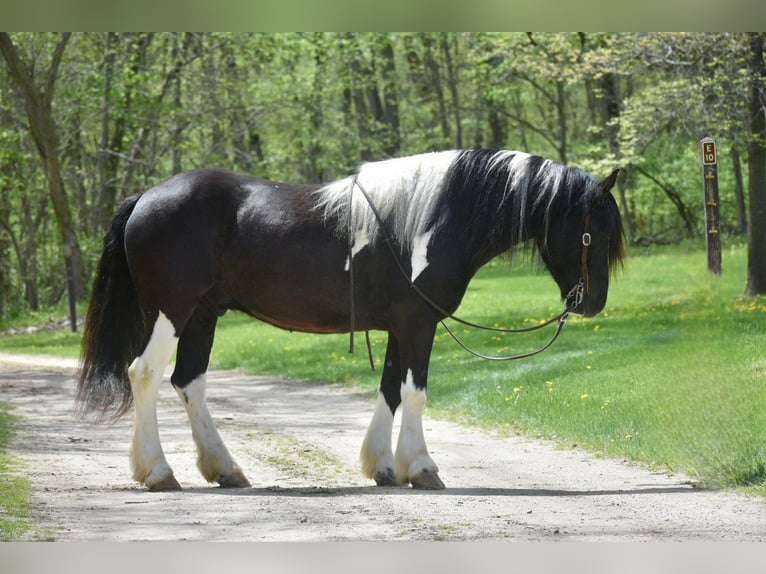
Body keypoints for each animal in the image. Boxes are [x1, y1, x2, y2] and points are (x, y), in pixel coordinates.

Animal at [78, 148, 628, 490]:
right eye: (593, 232)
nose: (593, 303)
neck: (434, 219)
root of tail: (146, 197)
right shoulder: (418, 325)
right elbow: (415, 392)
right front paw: (421, 468)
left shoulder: (401, 326)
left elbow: (390, 390)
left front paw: (384, 466)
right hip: (171, 312)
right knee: (144, 374)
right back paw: (157, 472)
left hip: (202, 316)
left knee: (188, 382)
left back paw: (225, 470)